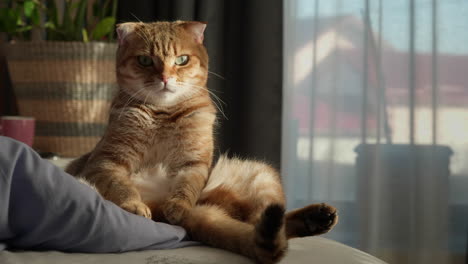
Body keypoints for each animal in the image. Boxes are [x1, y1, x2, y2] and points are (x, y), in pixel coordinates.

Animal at [66, 21, 336, 264]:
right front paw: (133, 205)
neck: (162, 116)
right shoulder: (105, 161)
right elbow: (122, 186)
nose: (165, 77)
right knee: (264, 227)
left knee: (264, 223)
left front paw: (178, 205)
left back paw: (316, 218)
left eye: (181, 60)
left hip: (261, 176)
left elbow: (186, 187)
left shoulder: (193, 164)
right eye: (144, 60)